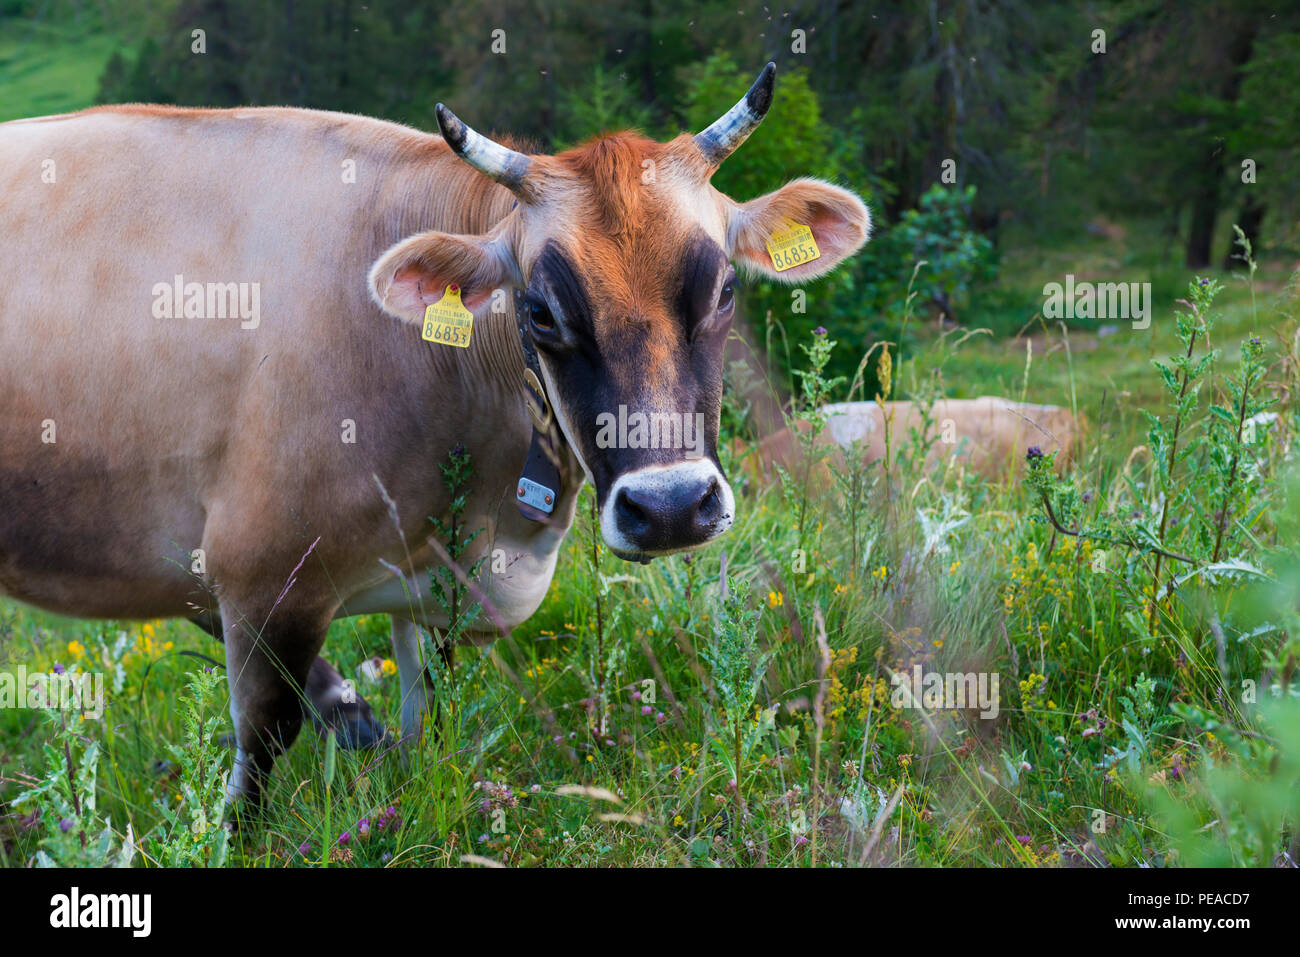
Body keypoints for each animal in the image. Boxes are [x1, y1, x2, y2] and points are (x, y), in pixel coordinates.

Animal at [0, 63, 871, 808]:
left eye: (724, 288)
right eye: (540, 312)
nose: (669, 507)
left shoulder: (436, 591)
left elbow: (429, 726)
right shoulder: (263, 576)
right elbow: (263, 751)